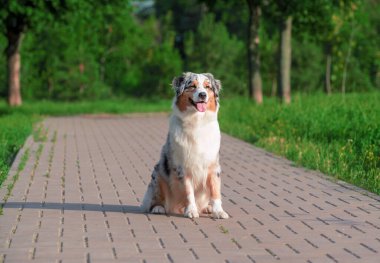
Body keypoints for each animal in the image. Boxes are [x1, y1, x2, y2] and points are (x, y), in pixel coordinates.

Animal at [140, 71, 229, 219]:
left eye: (207, 87)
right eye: (192, 86)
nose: (202, 95)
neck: (197, 122)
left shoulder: (213, 166)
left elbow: (215, 191)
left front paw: (219, 211)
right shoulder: (183, 167)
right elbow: (188, 192)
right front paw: (191, 211)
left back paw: (207, 208)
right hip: (158, 173)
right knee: (156, 199)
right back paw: (158, 208)